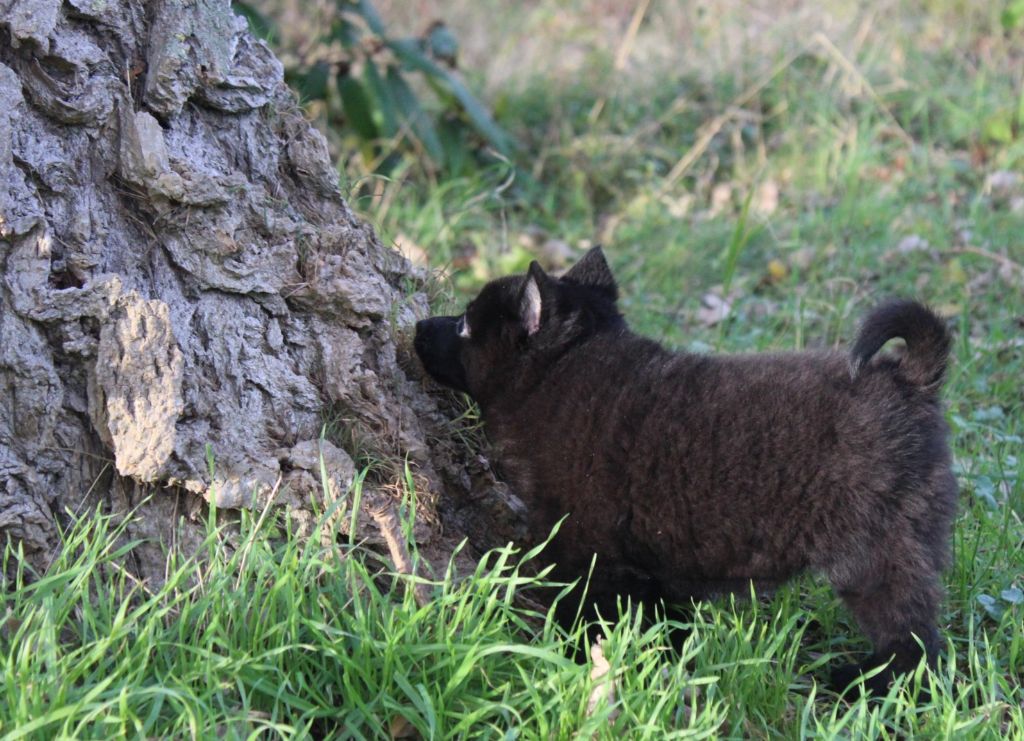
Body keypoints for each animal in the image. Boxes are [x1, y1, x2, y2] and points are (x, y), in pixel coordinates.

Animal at [411, 247, 954, 695]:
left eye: (464, 325)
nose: (417, 326)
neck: (556, 375)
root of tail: (905, 377)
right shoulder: (648, 565)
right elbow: (658, 619)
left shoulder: (580, 547)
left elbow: (582, 609)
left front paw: (571, 658)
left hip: (874, 550)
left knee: (914, 635)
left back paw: (869, 684)